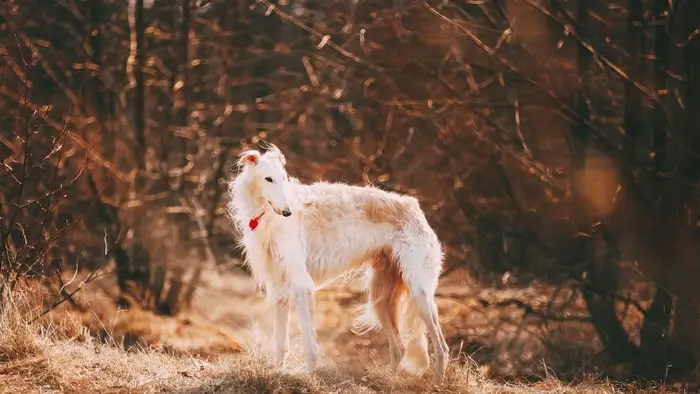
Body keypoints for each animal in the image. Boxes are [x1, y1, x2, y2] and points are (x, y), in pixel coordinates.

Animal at [227, 144, 452, 382]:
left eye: (283, 178)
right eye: (268, 179)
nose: (287, 212)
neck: (267, 215)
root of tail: (416, 209)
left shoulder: (302, 285)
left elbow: (309, 345)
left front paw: (308, 375)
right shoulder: (279, 288)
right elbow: (281, 344)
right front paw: (278, 373)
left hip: (419, 293)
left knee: (441, 348)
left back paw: (438, 383)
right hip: (381, 298)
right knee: (399, 348)